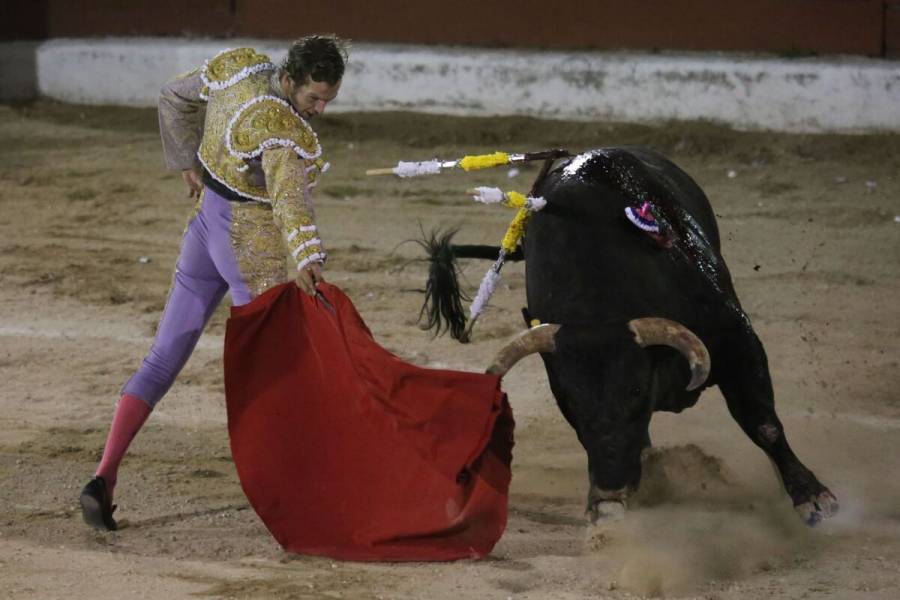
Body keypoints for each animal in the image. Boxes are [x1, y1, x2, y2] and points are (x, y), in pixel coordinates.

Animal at [418, 145, 840, 524]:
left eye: (636, 390)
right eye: (572, 399)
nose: (608, 492)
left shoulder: (735, 338)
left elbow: (762, 423)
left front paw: (812, 497)